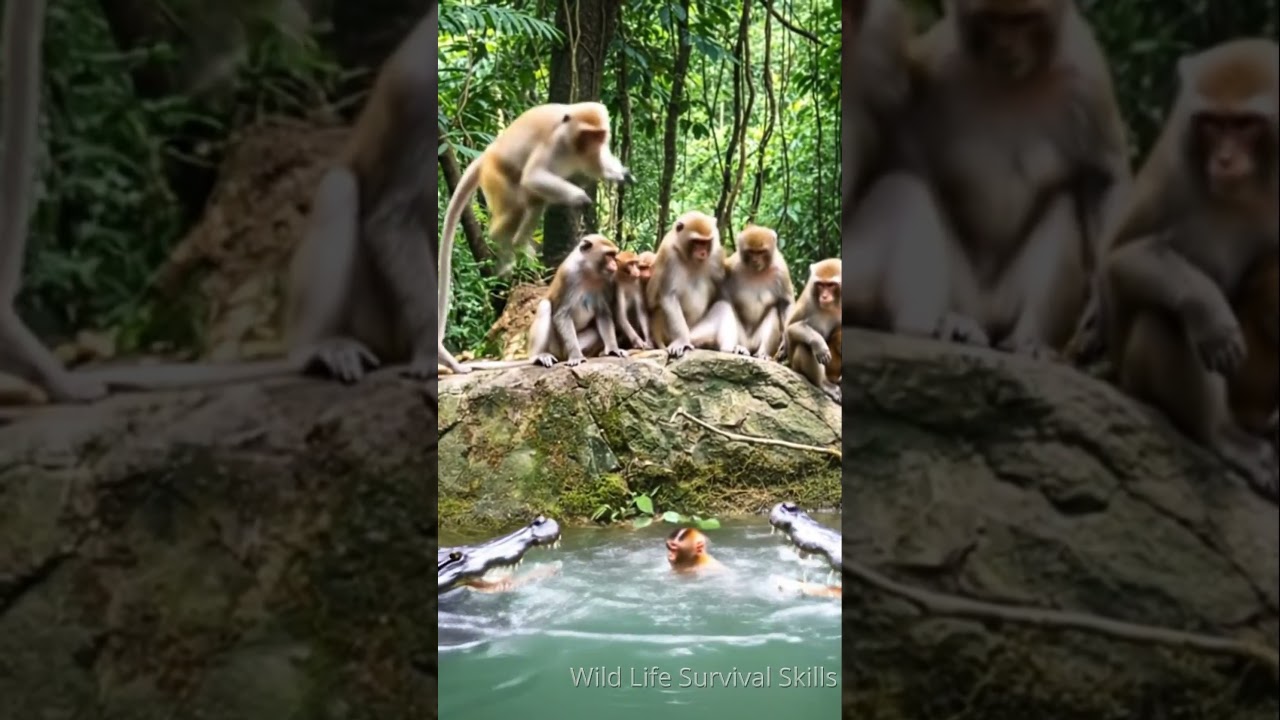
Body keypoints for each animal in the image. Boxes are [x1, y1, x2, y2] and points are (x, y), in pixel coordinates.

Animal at [528, 234, 629, 367]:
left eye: (613, 255)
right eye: (608, 255)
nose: (614, 264)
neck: (588, 271)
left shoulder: (607, 281)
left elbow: (602, 313)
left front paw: (613, 349)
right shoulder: (567, 275)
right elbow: (562, 314)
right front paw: (576, 356)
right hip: (556, 346)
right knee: (545, 306)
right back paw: (538, 356)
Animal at [646, 211, 739, 359]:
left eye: (706, 242)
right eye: (697, 242)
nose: (703, 252)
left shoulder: (716, 254)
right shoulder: (668, 254)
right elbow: (669, 296)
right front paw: (681, 341)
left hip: (697, 333)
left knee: (723, 307)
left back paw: (730, 348)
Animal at [724, 225, 795, 360]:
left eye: (761, 252)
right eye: (751, 252)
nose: (755, 261)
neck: (757, 272)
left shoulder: (781, 269)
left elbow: (785, 303)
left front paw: (786, 342)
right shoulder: (732, 265)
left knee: (773, 312)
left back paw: (763, 353)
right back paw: (739, 348)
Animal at [786, 259, 842, 404]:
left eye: (831, 285)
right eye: (820, 285)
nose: (824, 296)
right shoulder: (808, 301)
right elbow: (791, 328)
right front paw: (819, 344)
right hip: (796, 366)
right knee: (805, 346)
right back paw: (824, 384)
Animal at [844, 0, 1132, 362]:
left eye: (1025, 19)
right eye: (990, 20)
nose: (1006, 49)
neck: (1012, 85)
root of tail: (983, 311)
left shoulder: (1087, 73)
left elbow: (1103, 179)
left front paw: (1101, 302)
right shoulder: (938, 62)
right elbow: (892, 156)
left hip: (1003, 306)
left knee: (1064, 205)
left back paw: (1028, 341)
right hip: (961, 289)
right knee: (905, 188)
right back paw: (943, 324)